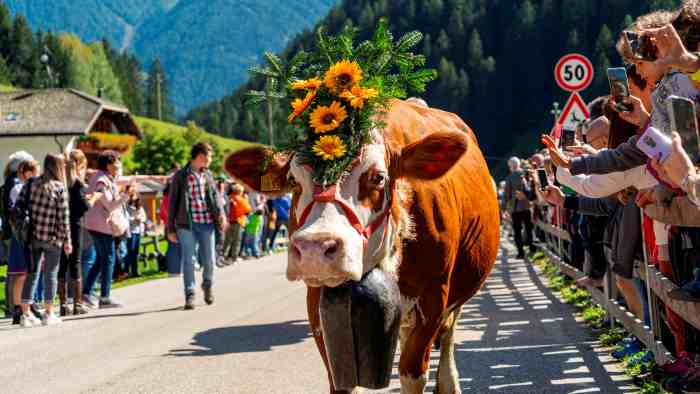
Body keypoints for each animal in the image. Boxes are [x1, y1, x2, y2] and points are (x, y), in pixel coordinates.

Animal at [227, 99, 500, 394]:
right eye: (294, 181)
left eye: (378, 177)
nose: (315, 249)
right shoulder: (317, 304)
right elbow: (341, 380)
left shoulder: (433, 298)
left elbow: (412, 373)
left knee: (449, 331)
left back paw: (449, 382)